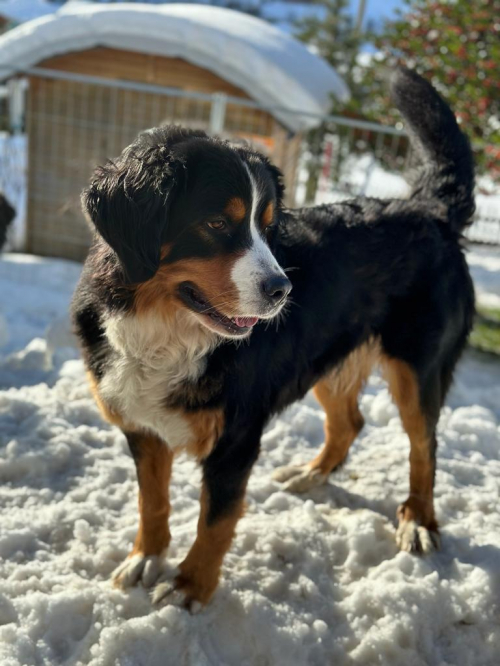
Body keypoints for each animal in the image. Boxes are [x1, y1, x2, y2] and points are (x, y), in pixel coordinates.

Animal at [70, 67, 472, 608]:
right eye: (216, 222)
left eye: (266, 225)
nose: (283, 290)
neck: (167, 329)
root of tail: (431, 210)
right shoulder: (142, 426)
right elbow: (152, 502)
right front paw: (145, 559)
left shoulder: (236, 437)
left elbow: (215, 522)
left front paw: (190, 587)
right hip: (328, 356)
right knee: (350, 422)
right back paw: (310, 475)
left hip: (417, 368)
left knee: (424, 446)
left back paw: (419, 521)